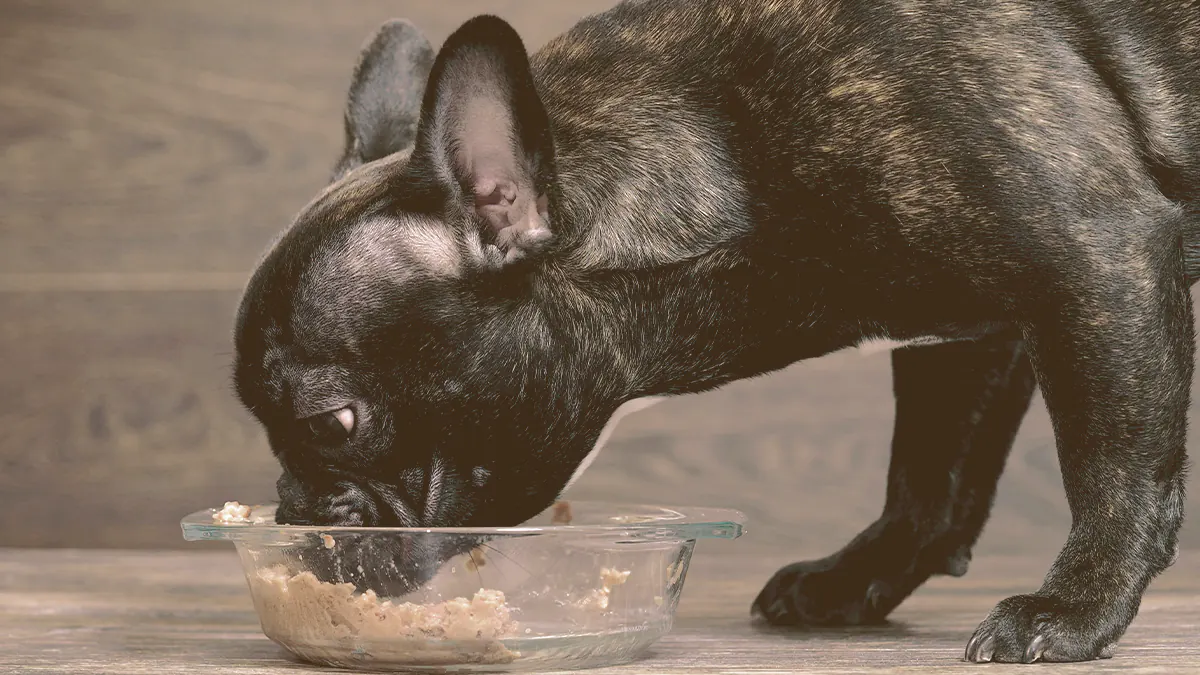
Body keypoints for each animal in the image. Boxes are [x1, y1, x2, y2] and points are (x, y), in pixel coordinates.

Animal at [231, 0, 1200, 662]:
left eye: (332, 423)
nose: (293, 506)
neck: (729, 145)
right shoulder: (964, 329)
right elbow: (932, 476)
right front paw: (859, 576)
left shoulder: (1096, 258)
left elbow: (1112, 466)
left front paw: (1073, 610)